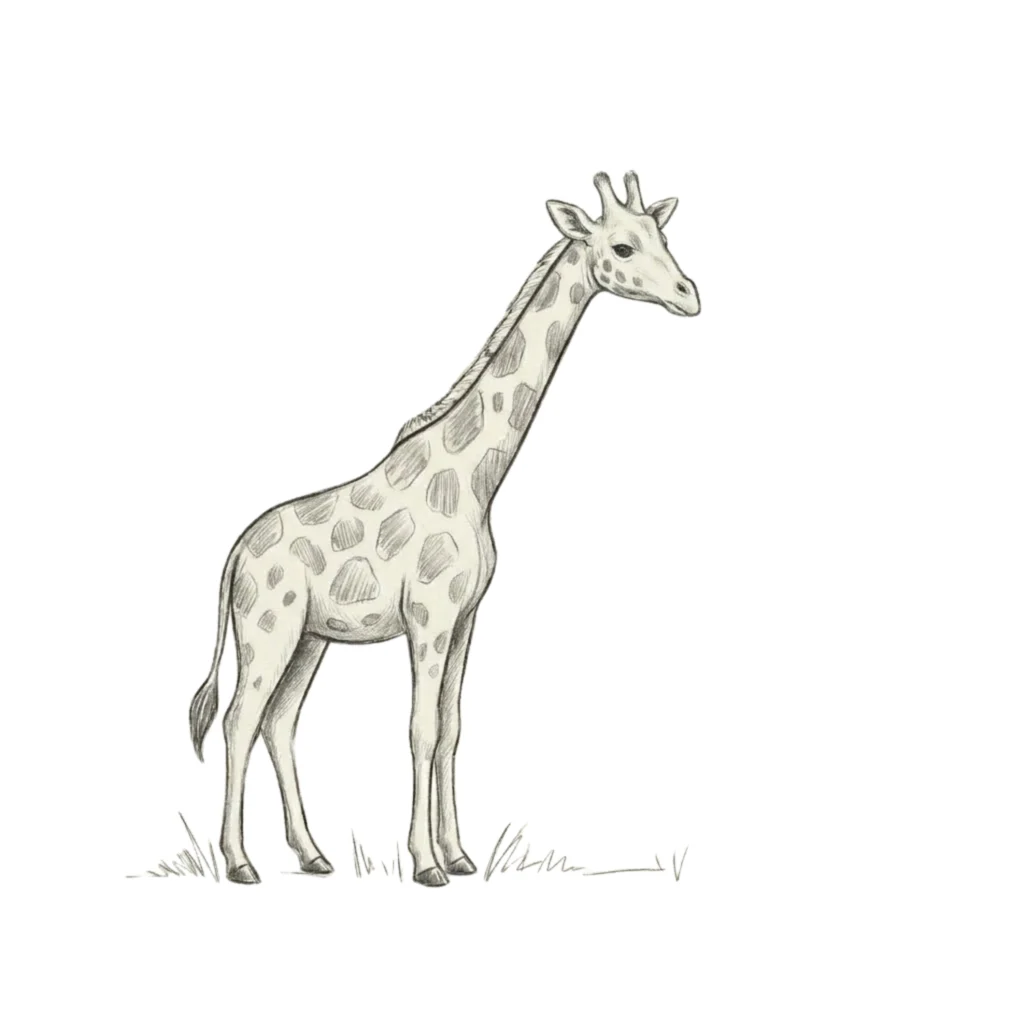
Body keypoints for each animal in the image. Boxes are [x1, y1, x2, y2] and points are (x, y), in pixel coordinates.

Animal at [189, 171, 700, 886]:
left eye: (663, 237)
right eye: (623, 248)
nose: (690, 296)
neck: (473, 481)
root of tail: (235, 554)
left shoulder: (465, 617)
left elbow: (453, 728)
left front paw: (459, 855)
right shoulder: (427, 616)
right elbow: (420, 730)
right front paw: (425, 863)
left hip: (310, 638)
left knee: (279, 723)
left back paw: (313, 855)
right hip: (267, 629)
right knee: (239, 720)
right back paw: (240, 864)